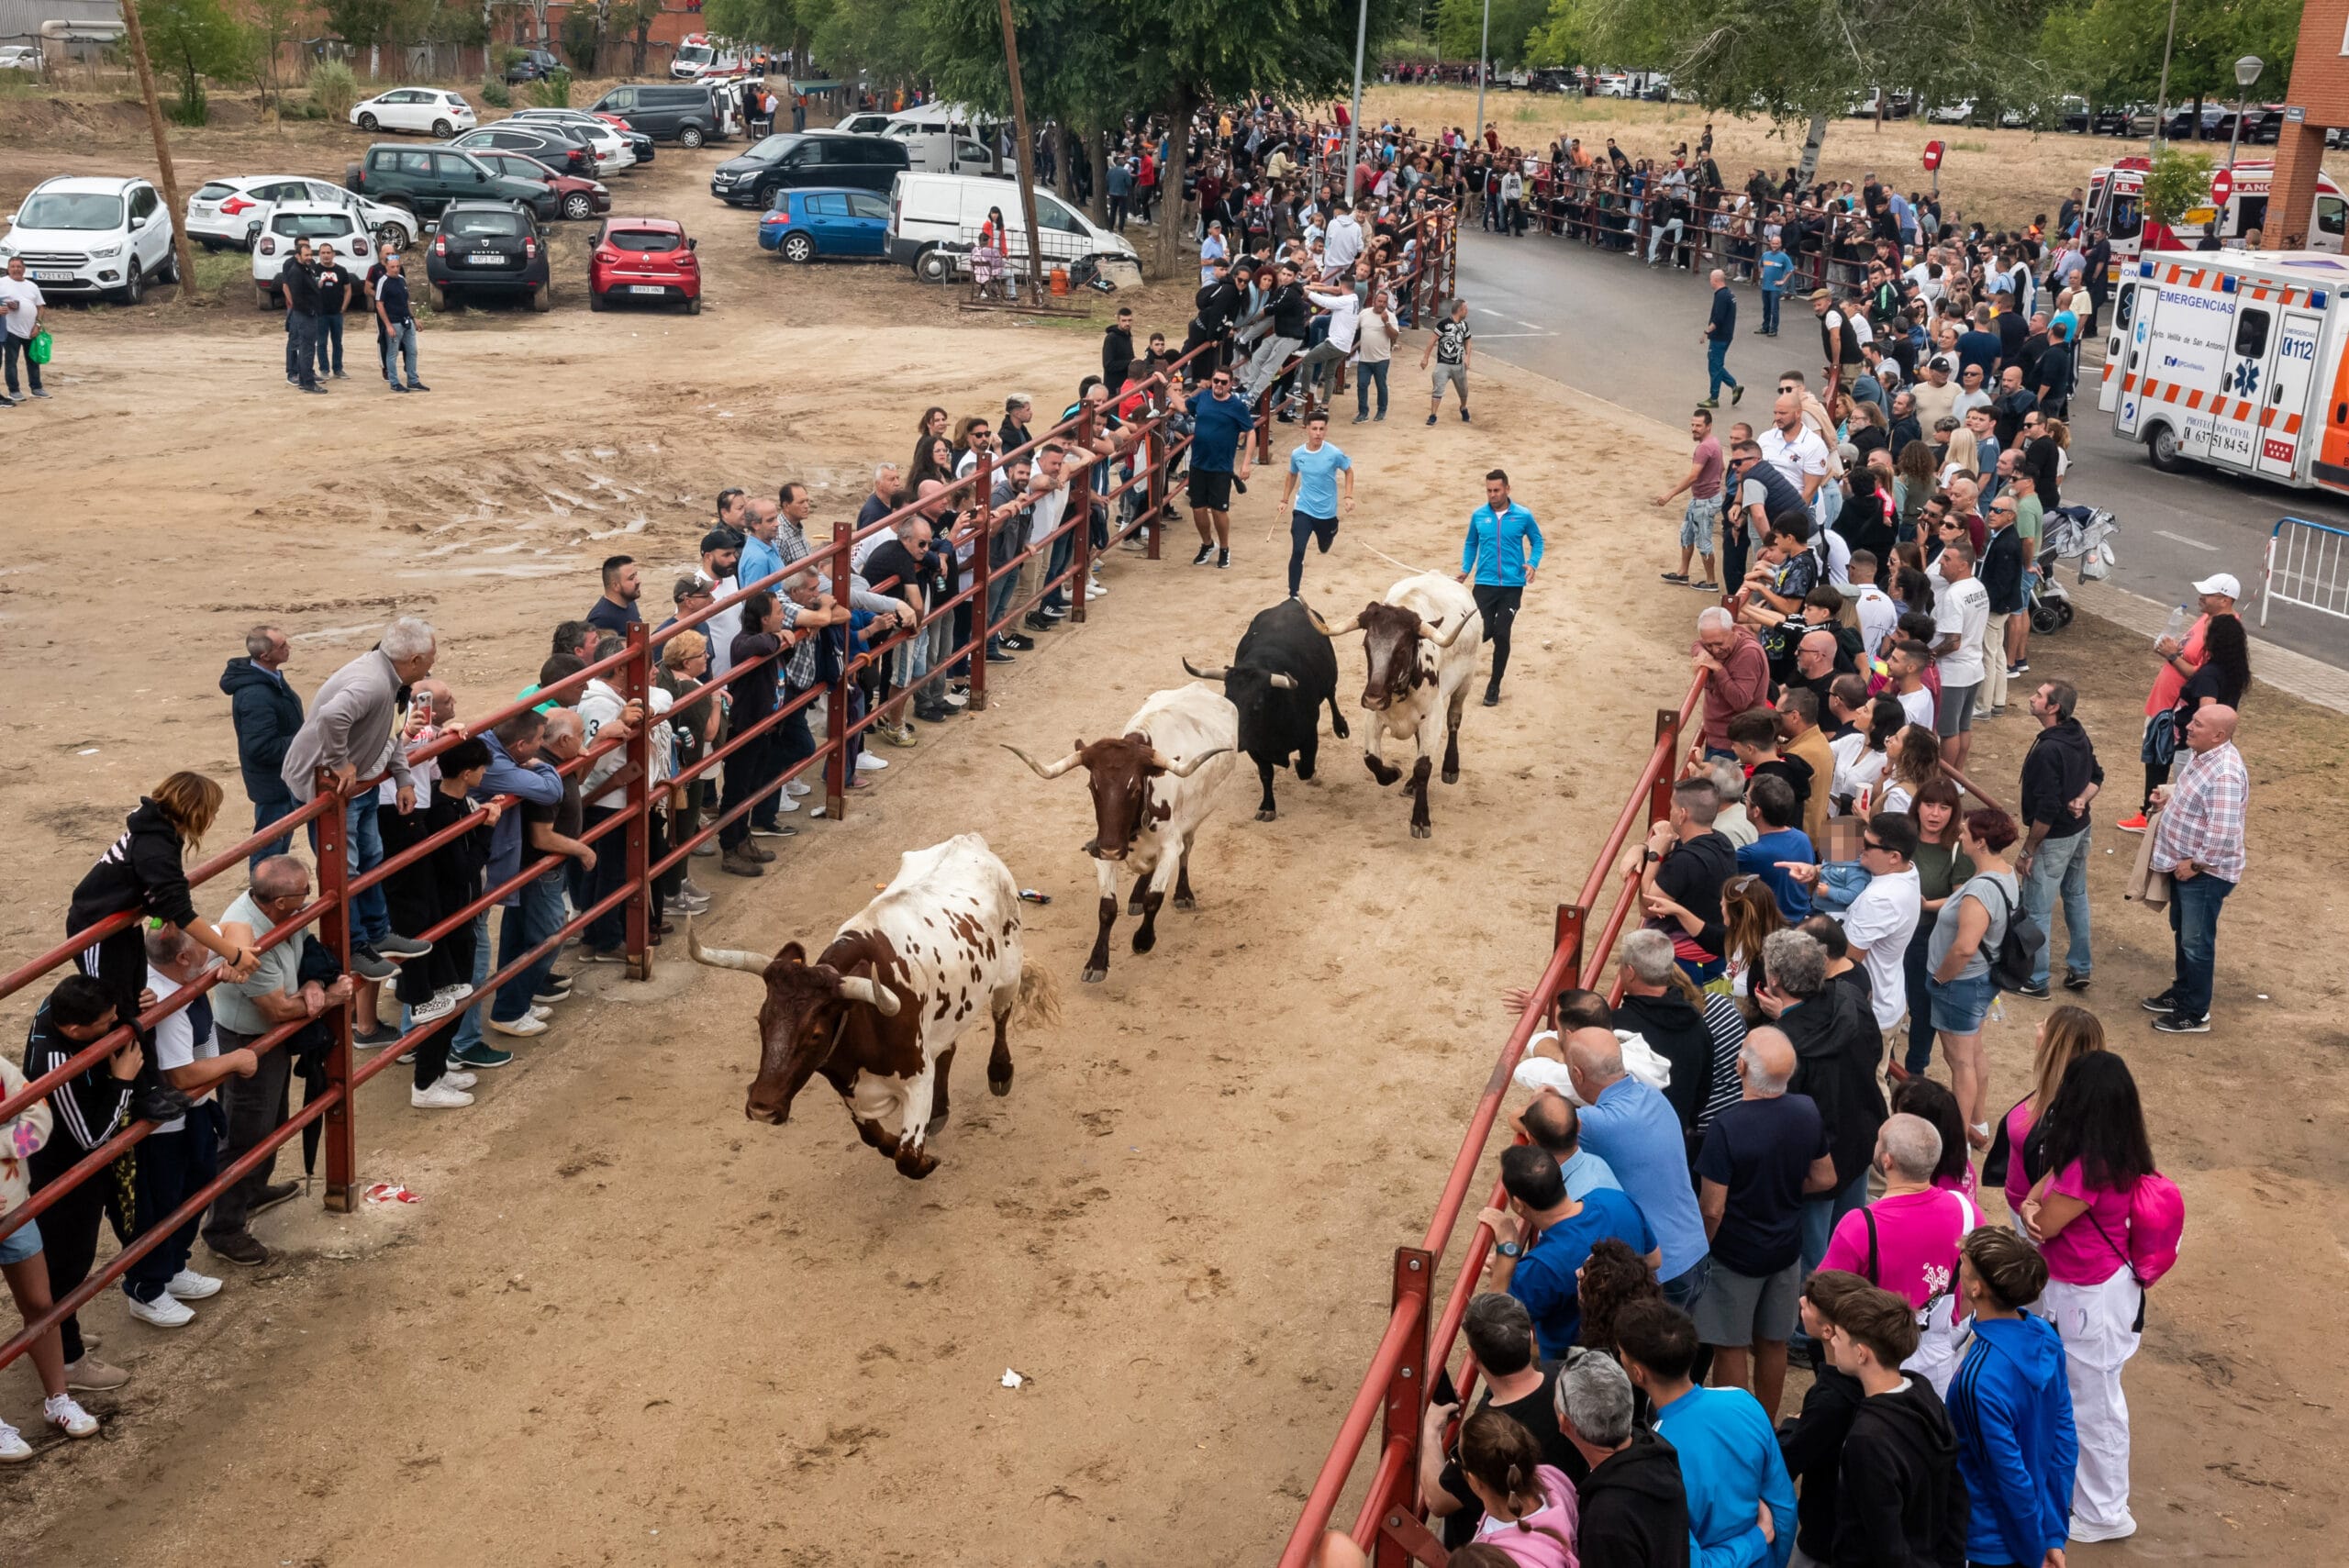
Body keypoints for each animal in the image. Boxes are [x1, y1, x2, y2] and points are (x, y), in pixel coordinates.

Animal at [685, 833, 1059, 1180]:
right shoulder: (850, 1090)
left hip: (1008, 972)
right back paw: (940, 1111)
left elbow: (906, 1157)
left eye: (815, 1034)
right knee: (948, 1049)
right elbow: (875, 1139)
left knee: (1001, 1016)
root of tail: (967, 840)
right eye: (762, 1021)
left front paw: (926, 1160)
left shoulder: (917, 1079)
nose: (762, 1108)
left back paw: (1000, 1073)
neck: (865, 1025)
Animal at [1005, 682, 1236, 983]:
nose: (1113, 849)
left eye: (1134, 788)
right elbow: (1107, 908)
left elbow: (1155, 897)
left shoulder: (1169, 846)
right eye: (1093, 786)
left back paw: (1183, 894)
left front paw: (1143, 940)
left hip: (1196, 819)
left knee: (1187, 849)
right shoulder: (1101, 847)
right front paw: (1097, 962)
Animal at [1183, 596, 1349, 822]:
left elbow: (1306, 767)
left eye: (1258, 704)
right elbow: (1266, 774)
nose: (1235, 741)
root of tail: (1290, 601)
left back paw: (1341, 727)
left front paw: (1301, 767)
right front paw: (1267, 807)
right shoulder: (1255, 746)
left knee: (1332, 695)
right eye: (1228, 701)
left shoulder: (1309, 735)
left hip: (1331, 676)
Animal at [1311, 571, 1484, 839]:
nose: (1373, 698)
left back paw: (1450, 768)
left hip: (1465, 683)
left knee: (1454, 720)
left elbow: (1423, 767)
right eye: (1366, 646)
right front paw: (1394, 773)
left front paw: (1421, 819)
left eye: (1401, 649)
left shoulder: (1432, 719)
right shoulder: (1374, 718)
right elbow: (1372, 759)